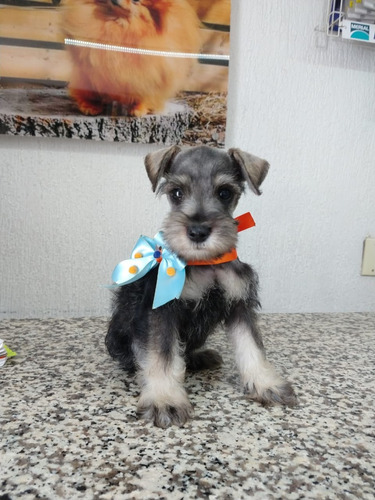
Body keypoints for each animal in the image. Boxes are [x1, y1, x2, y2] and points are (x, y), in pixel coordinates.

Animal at [62, 0, 203, 115]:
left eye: (136, 0)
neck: (121, 26)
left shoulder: (149, 76)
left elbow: (143, 94)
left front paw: (138, 109)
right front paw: (91, 106)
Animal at [106, 144, 296, 426]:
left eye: (225, 192)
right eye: (176, 192)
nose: (197, 232)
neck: (207, 263)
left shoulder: (239, 303)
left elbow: (252, 346)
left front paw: (266, 384)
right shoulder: (161, 311)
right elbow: (161, 354)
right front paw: (165, 399)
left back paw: (200, 355)